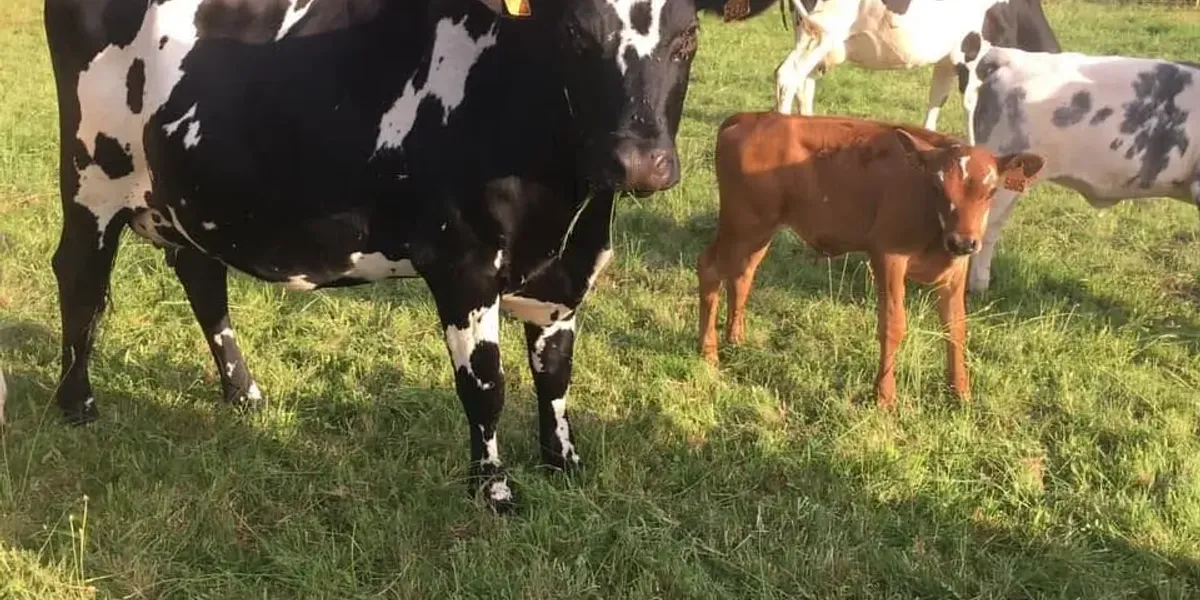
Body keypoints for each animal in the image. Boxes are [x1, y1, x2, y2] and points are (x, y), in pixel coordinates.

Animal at [43, 0, 700, 513]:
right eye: (575, 35)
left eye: (688, 37)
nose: (638, 163)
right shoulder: (463, 266)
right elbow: (486, 385)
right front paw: (492, 491)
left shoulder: (565, 277)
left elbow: (555, 376)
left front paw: (563, 463)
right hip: (93, 176)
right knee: (80, 277)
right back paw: (76, 404)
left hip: (189, 194)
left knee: (202, 276)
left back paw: (244, 394)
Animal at [696, 112, 1043, 406]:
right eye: (937, 187)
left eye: (991, 192)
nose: (963, 241)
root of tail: (749, 117)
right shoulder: (887, 256)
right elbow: (893, 325)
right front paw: (885, 397)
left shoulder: (955, 270)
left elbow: (955, 328)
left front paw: (961, 393)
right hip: (742, 225)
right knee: (709, 268)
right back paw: (708, 352)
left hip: (759, 232)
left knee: (743, 274)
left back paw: (735, 338)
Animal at [771, 0, 1061, 136]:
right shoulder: (972, 53)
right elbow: (972, 108)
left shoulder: (947, 60)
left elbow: (936, 100)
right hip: (821, 32)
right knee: (787, 76)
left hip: (813, 38)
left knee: (803, 86)